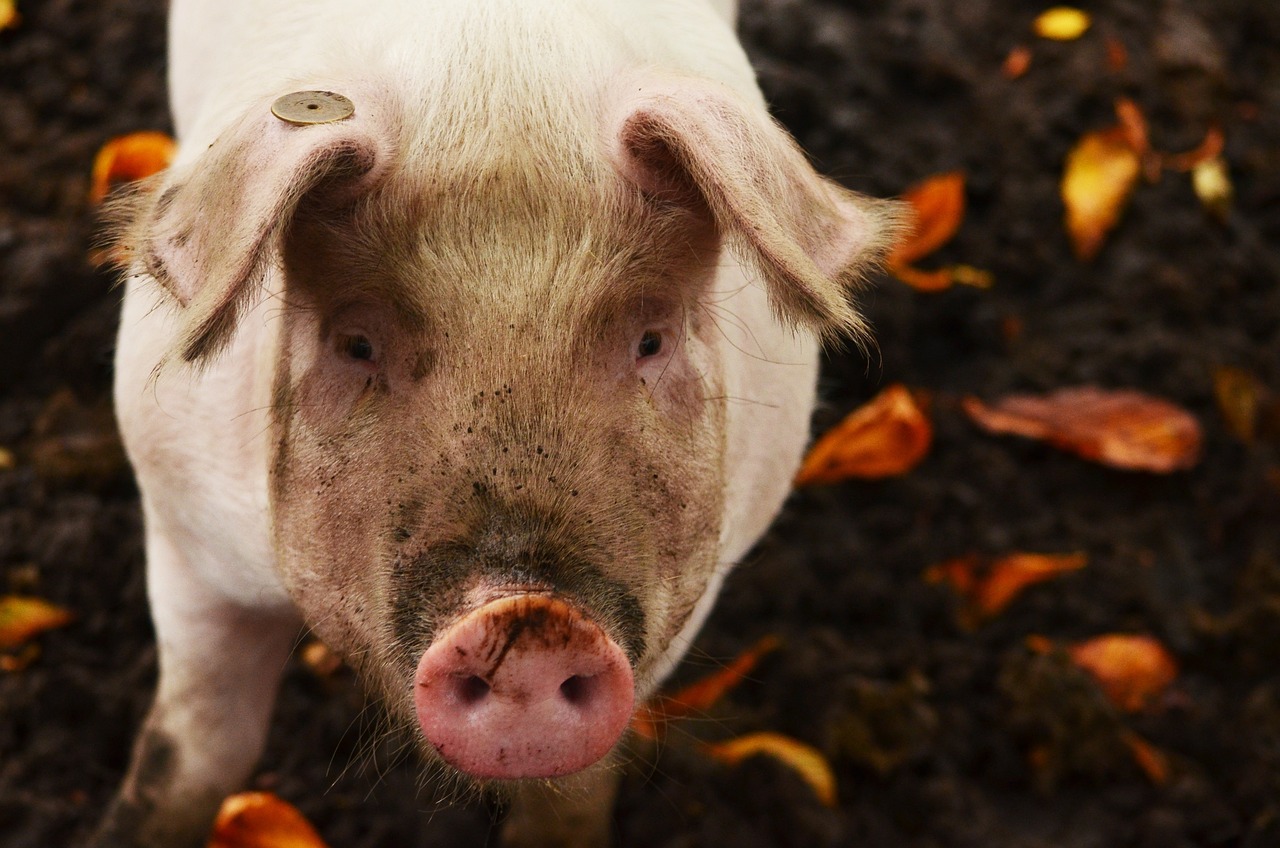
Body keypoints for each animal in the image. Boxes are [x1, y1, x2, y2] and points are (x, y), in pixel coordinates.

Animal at [92, 1, 901, 848]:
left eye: (651, 340)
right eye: (356, 344)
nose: (531, 619)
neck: (495, 91)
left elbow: (571, 795)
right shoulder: (185, 531)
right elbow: (196, 751)